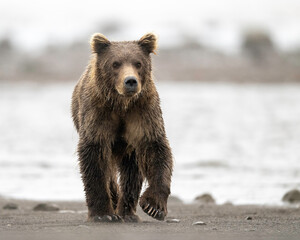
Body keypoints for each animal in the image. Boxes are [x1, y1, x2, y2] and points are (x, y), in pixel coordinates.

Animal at [71, 32, 172, 222]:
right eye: (115, 63)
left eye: (138, 63)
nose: (130, 81)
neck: (121, 104)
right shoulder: (97, 114)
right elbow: (94, 156)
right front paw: (102, 213)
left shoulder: (143, 113)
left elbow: (155, 148)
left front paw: (154, 206)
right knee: (111, 171)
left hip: (129, 150)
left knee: (132, 172)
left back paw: (128, 212)